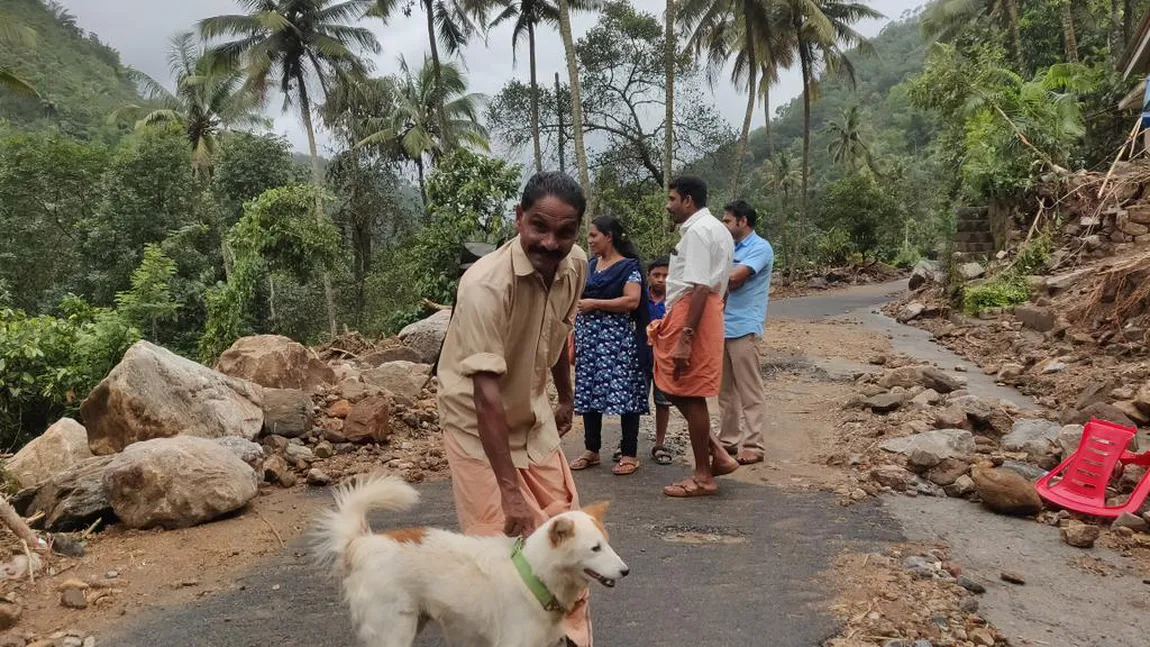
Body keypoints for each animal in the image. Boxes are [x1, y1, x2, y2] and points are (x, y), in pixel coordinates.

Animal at [315, 473, 630, 643]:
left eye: (607, 544)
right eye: (595, 548)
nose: (626, 571)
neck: (534, 576)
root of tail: (361, 542)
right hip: (394, 631)